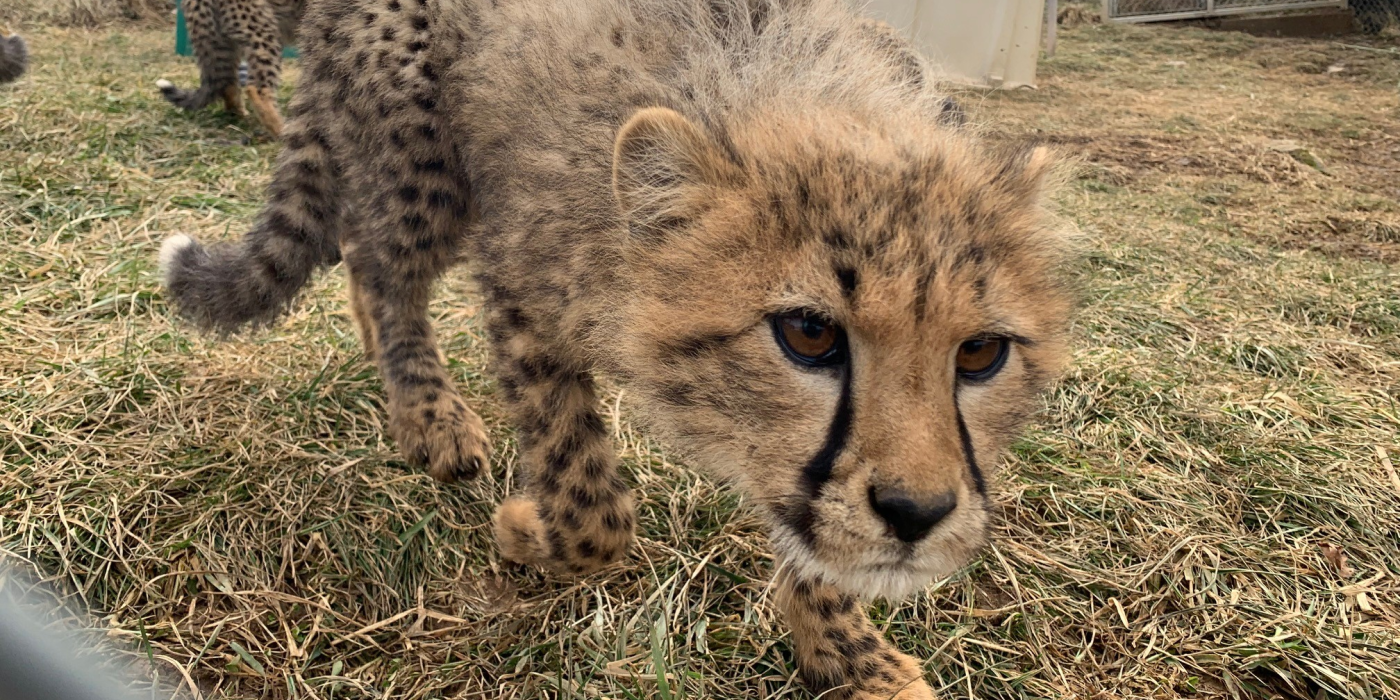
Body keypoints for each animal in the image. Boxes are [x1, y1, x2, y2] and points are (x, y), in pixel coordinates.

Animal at [156, 0, 303, 135]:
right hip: (262, 33)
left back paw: (240, 116)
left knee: (228, 83)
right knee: (257, 89)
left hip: (224, 42)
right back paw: (284, 131)